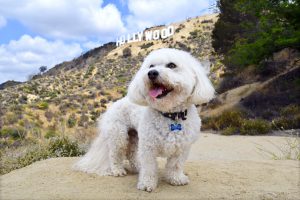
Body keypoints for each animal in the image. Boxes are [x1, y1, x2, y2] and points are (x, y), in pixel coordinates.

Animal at [75, 48, 216, 192]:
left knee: (131, 154)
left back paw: (137, 168)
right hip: (118, 135)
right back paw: (118, 170)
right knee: (115, 154)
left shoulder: (182, 148)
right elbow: (149, 167)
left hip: (134, 136)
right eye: (151, 66)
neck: (170, 115)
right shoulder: (148, 147)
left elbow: (175, 165)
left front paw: (176, 179)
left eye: (172, 65)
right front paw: (147, 183)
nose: (152, 73)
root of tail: (114, 104)